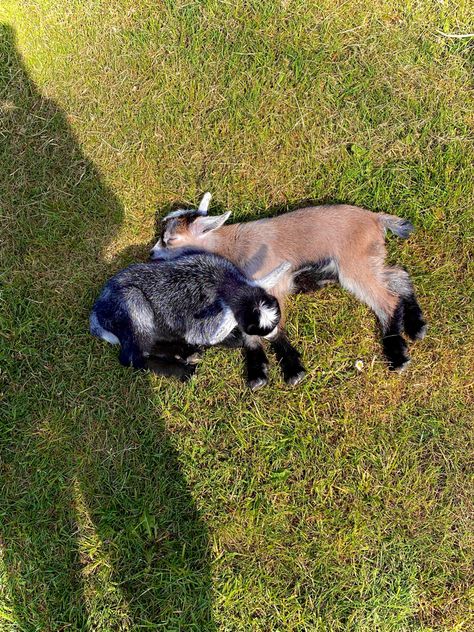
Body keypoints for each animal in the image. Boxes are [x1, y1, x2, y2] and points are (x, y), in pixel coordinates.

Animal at [90, 246, 288, 386]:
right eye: (255, 329)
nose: (273, 335)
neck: (224, 283)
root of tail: (97, 313)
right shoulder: (201, 326)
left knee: (148, 344)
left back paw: (186, 352)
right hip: (133, 304)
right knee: (132, 356)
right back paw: (182, 369)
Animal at [151, 195, 426, 386]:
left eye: (169, 239)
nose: (152, 254)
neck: (232, 247)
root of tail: (375, 218)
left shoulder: (273, 284)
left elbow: (272, 329)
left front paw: (293, 370)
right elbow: (249, 332)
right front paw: (258, 373)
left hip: (353, 264)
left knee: (386, 299)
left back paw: (398, 355)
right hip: (367, 259)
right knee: (398, 275)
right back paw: (416, 326)